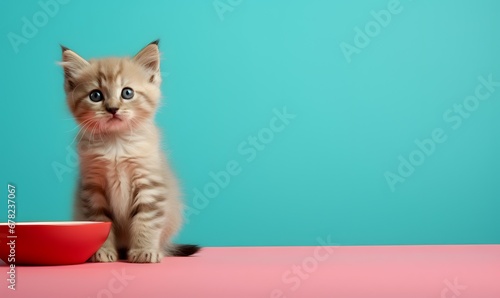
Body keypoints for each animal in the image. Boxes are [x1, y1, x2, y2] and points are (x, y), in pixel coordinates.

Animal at [63, 40, 201, 264]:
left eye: (127, 93)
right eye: (95, 95)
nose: (112, 109)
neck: (116, 144)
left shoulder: (150, 184)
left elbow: (146, 221)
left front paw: (145, 251)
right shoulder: (93, 188)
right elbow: (101, 222)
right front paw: (103, 252)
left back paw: (157, 249)